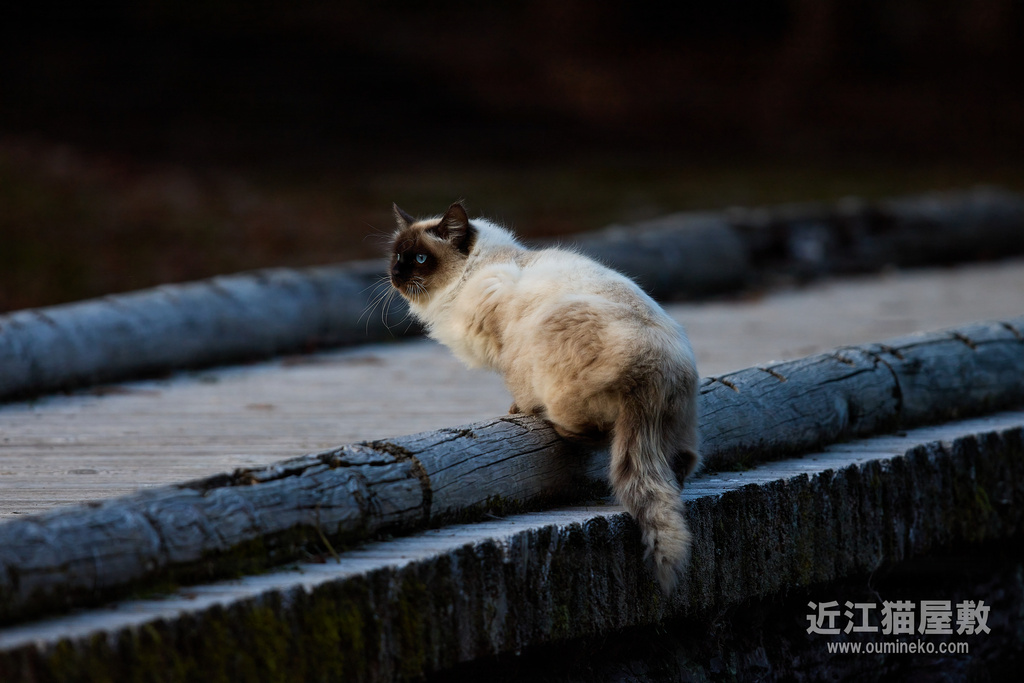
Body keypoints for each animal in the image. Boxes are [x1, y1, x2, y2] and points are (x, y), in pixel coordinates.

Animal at [388, 201, 700, 592]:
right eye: (396, 256)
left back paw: (546, 417)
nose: (395, 275)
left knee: (592, 433)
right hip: (673, 427)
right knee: (679, 464)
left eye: (419, 258)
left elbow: (514, 388)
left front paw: (515, 411)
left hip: (554, 353)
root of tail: (654, 370)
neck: (469, 277)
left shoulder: (505, 345)